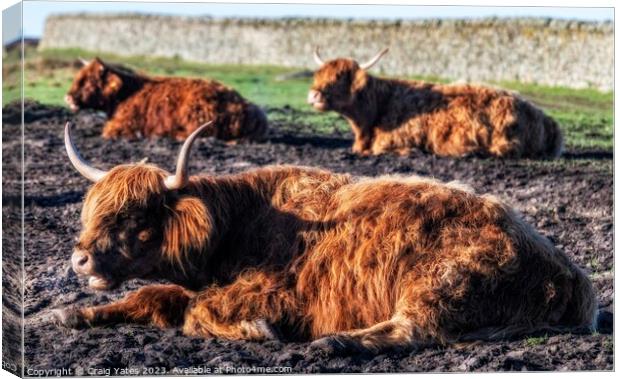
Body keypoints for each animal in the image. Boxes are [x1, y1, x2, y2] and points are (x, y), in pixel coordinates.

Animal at [54, 123, 596, 354]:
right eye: (94, 210)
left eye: (135, 215)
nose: (80, 260)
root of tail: (571, 275)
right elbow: (151, 295)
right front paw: (71, 314)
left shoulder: (280, 292)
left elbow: (194, 313)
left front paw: (257, 330)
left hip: (438, 281)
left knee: (413, 329)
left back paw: (335, 343)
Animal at [66, 58, 268, 142]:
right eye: (78, 77)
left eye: (89, 81)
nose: (68, 98)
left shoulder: (122, 125)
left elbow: (107, 132)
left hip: (197, 114)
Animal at [308, 48, 564, 159]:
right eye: (319, 74)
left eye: (341, 76)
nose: (313, 95)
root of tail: (548, 120)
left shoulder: (389, 141)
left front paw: (410, 151)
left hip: (504, 142)